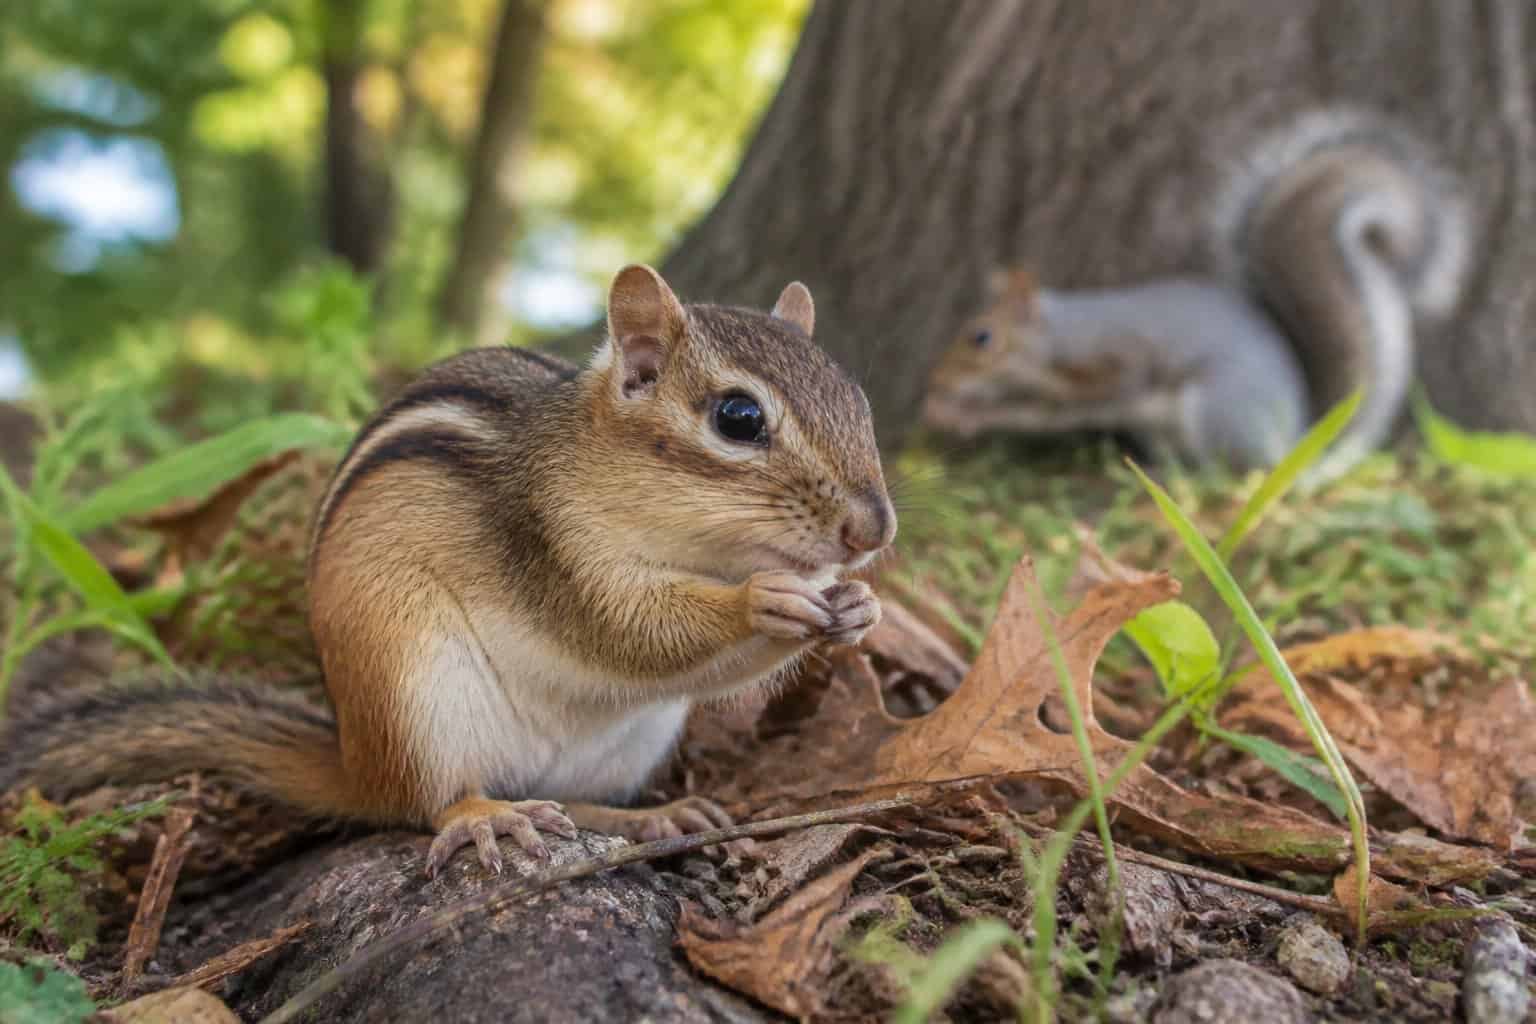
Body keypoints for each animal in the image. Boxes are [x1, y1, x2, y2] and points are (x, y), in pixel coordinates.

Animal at [0, 265, 897, 877]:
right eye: (738, 418)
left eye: (861, 402)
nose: (874, 529)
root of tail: (357, 761)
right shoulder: (556, 550)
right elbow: (630, 632)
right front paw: (763, 600)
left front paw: (857, 609)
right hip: (417, 690)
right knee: (428, 804)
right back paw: (483, 816)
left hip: (630, 741)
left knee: (572, 797)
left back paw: (649, 818)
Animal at [923, 113, 1471, 481]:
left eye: (981, 338)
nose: (937, 378)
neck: (1058, 335)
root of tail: (1284, 448)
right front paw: (950, 405)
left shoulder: (1109, 363)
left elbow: (1044, 411)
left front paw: (963, 412)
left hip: (1213, 411)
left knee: (1227, 474)